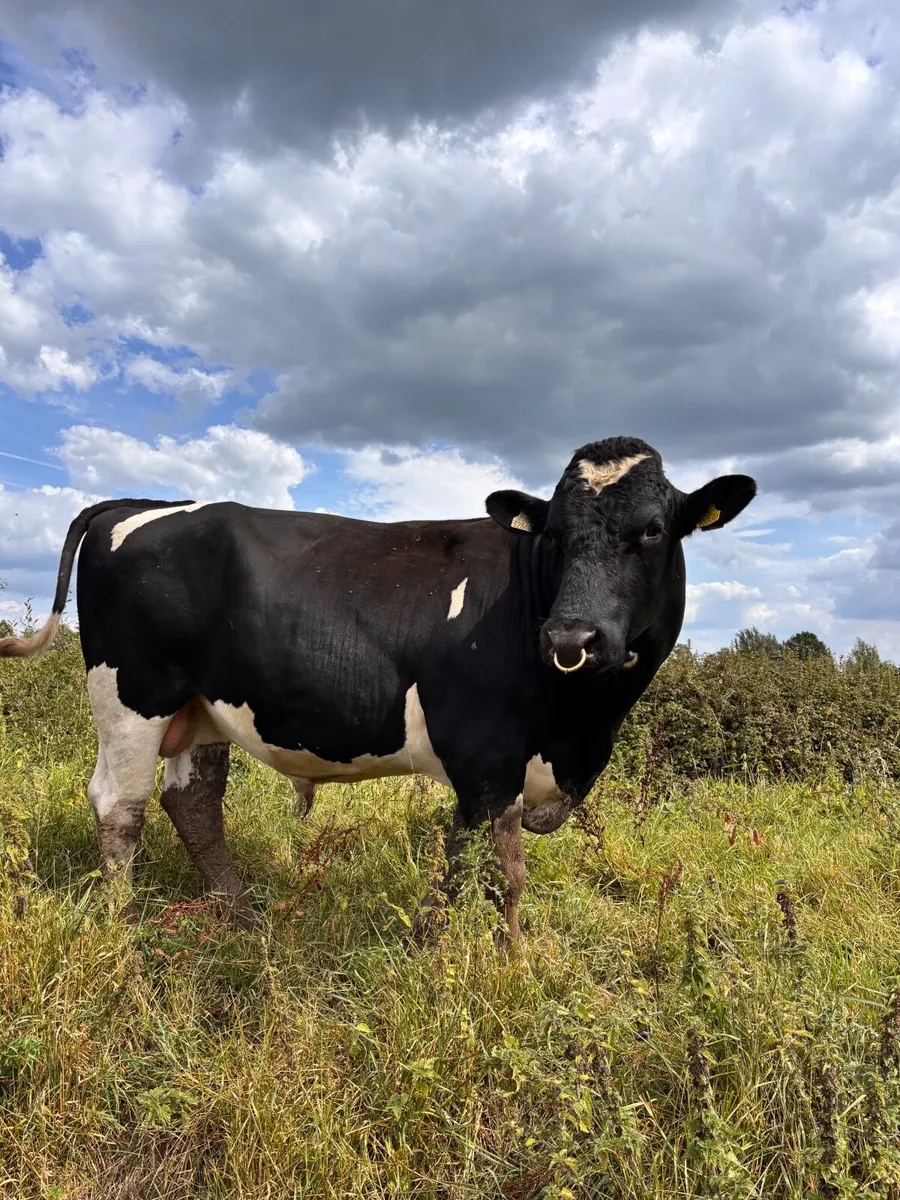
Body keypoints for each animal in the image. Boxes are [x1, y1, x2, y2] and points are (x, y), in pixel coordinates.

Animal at [0, 436, 756, 942]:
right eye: (558, 534)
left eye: (652, 530)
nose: (572, 637)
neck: (582, 730)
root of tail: (149, 504)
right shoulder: (484, 755)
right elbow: (494, 871)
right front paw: (502, 960)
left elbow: (473, 861)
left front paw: (454, 944)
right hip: (133, 695)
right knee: (119, 807)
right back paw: (123, 927)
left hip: (200, 707)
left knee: (192, 803)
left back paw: (242, 914)